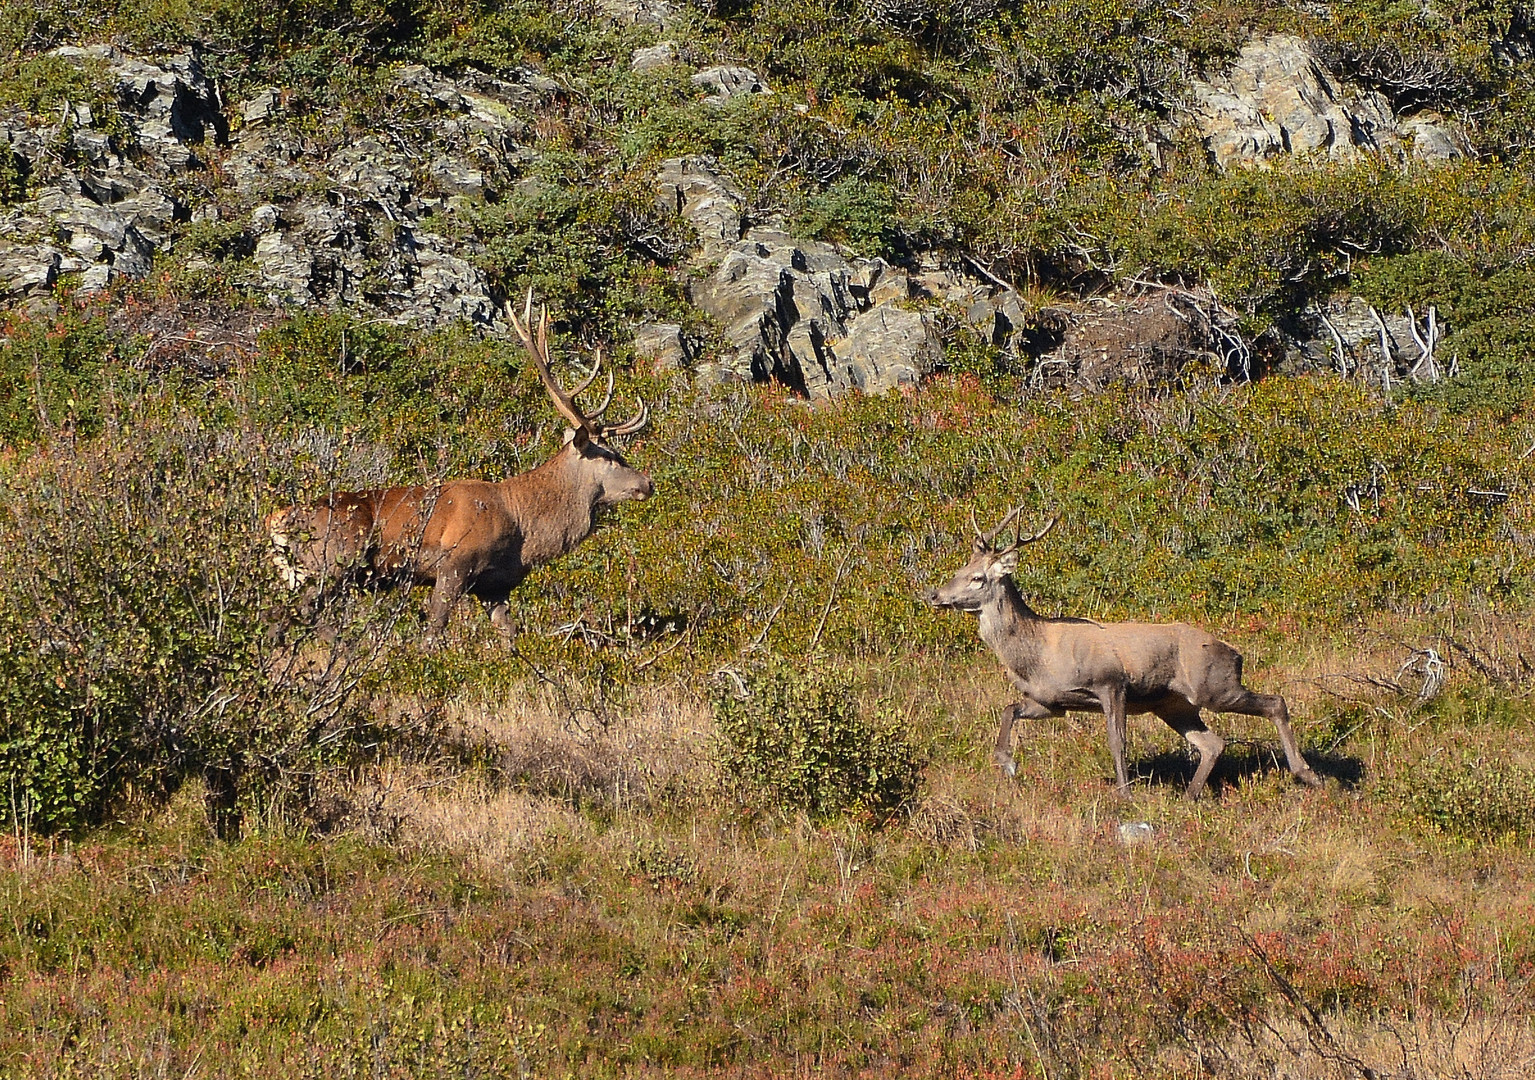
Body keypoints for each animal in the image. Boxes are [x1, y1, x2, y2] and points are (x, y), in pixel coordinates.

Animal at [921, 509, 1320, 803]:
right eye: (958, 569)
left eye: (977, 578)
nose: (934, 594)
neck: (1038, 653)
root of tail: (1235, 653)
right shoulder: (1051, 701)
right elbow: (1008, 709)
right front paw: (1006, 762)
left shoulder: (1110, 683)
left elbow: (1117, 740)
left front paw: (1125, 793)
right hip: (1174, 704)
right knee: (1213, 742)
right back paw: (1190, 795)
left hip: (1214, 686)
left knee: (1275, 702)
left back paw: (1307, 773)